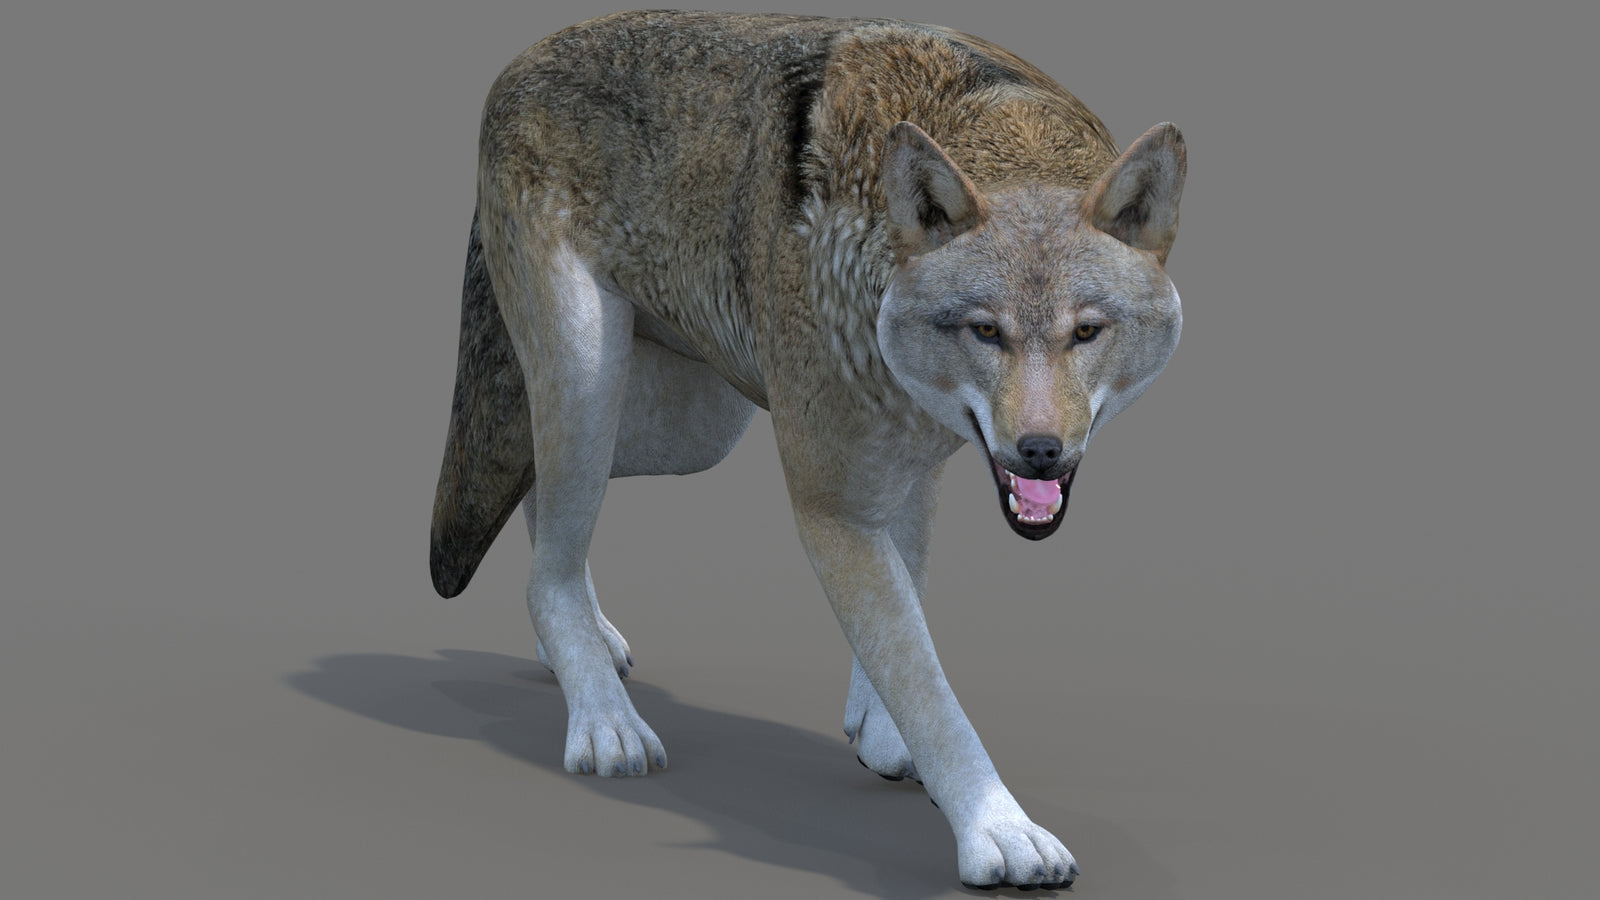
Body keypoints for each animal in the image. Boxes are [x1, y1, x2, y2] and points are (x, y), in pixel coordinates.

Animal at [429, 11, 1185, 889]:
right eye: (985, 331)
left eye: (1087, 332)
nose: (1040, 452)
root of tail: (519, 60)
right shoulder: (832, 504)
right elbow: (927, 685)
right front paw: (998, 829)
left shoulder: (916, 460)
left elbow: (907, 606)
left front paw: (879, 731)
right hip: (594, 380)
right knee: (545, 562)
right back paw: (602, 720)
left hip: (686, 425)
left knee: (541, 500)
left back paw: (582, 645)